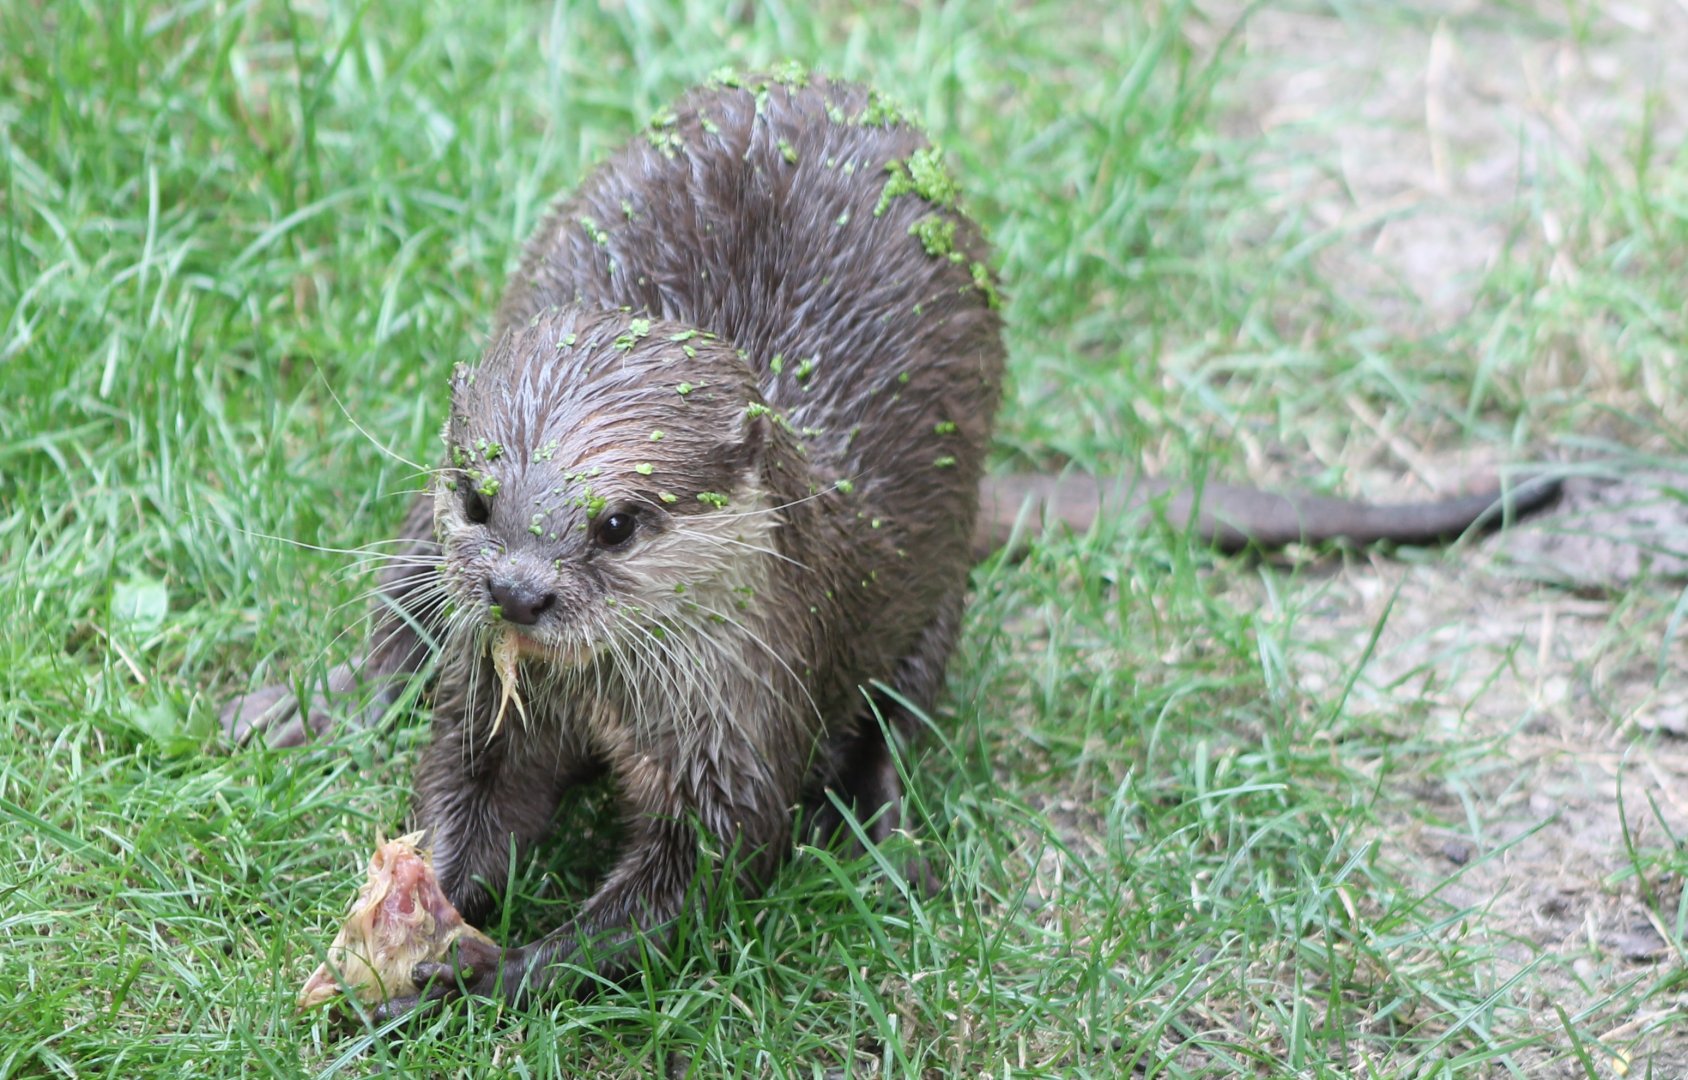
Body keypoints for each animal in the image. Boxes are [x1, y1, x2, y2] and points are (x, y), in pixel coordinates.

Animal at [222, 72, 1556, 1010]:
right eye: (480, 492)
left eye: (617, 520)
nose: (516, 591)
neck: (616, 706)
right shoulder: (494, 689)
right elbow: (466, 790)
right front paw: (419, 902)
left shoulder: (749, 724)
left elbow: (703, 880)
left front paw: (487, 972)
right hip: (412, 549)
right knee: (397, 621)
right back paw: (309, 708)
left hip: (938, 583)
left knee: (903, 707)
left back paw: (878, 833)